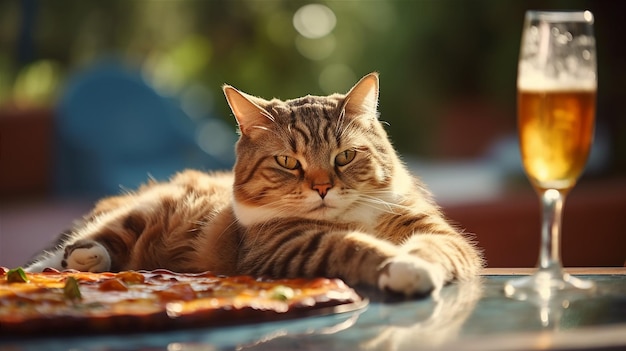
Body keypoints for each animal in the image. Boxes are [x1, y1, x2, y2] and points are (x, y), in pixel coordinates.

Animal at [25, 73, 482, 296]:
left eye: (344, 157)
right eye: (287, 162)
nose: (322, 188)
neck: (350, 216)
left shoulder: (435, 232)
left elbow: (434, 248)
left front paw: (414, 264)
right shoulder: (292, 244)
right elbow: (354, 246)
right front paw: (396, 265)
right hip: (141, 213)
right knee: (80, 244)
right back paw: (64, 264)